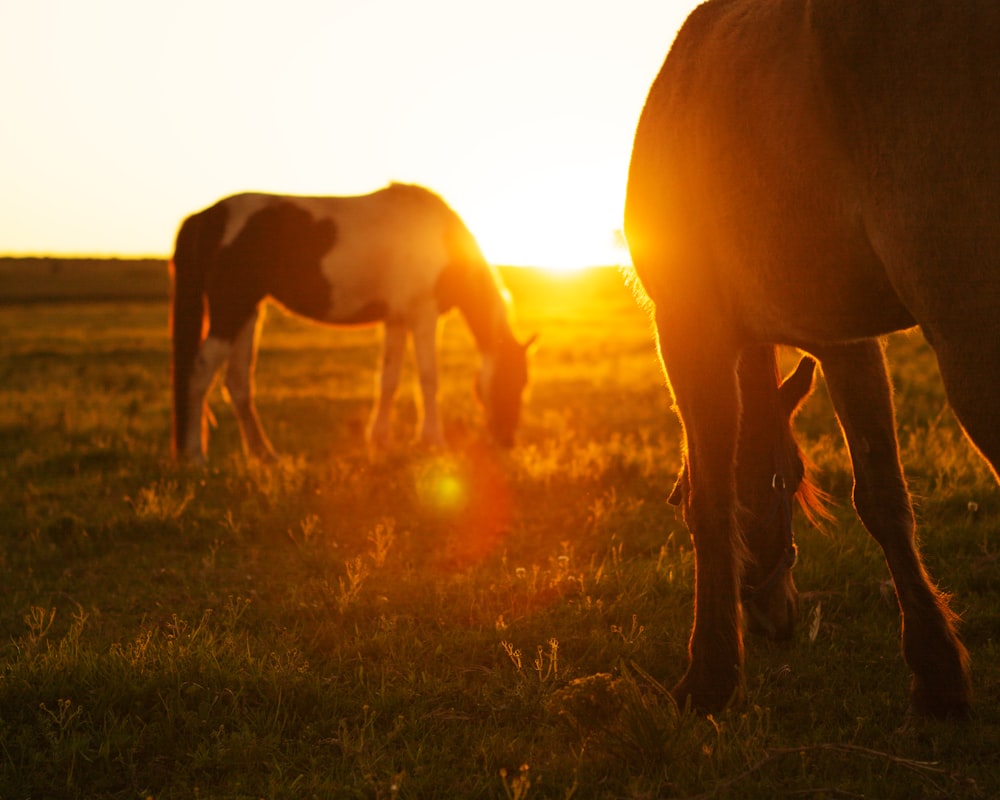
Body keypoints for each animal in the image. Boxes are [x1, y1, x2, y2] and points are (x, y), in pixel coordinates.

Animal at [170, 180, 540, 456]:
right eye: (514, 381)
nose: (506, 440)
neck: (442, 240)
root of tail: (208, 217)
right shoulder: (423, 315)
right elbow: (429, 378)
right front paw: (433, 440)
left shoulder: (396, 319)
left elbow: (388, 380)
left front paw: (381, 439)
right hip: (230, 309)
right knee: (201, 371)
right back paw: (195, 456)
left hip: (247, 311)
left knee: (237, 382)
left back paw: (264, 454)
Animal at [620, 0, 996, 716]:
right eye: (789, 479)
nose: (776, 619)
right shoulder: (843, 339)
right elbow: (881, 495)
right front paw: (936, 670)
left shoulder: (687, 326)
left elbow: (714, 496)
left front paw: (708, 677)